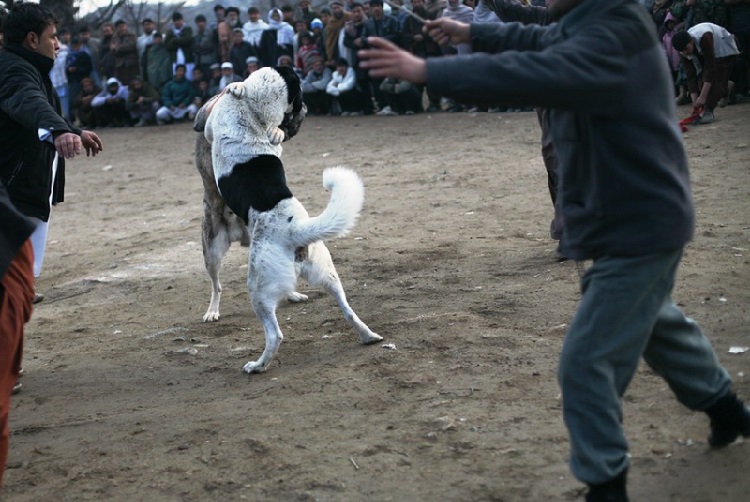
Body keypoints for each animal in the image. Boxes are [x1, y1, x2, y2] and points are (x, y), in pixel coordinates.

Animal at [195, 66, 382, 372]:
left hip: (251, 282)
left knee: (272, 331)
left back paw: (257, 364)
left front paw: (236, 86)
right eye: (301, 94)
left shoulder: (210, 125)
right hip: (326, 273)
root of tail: (297, 231)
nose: (306, 106)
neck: (252, 108)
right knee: (347, 309)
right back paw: (368, 335)